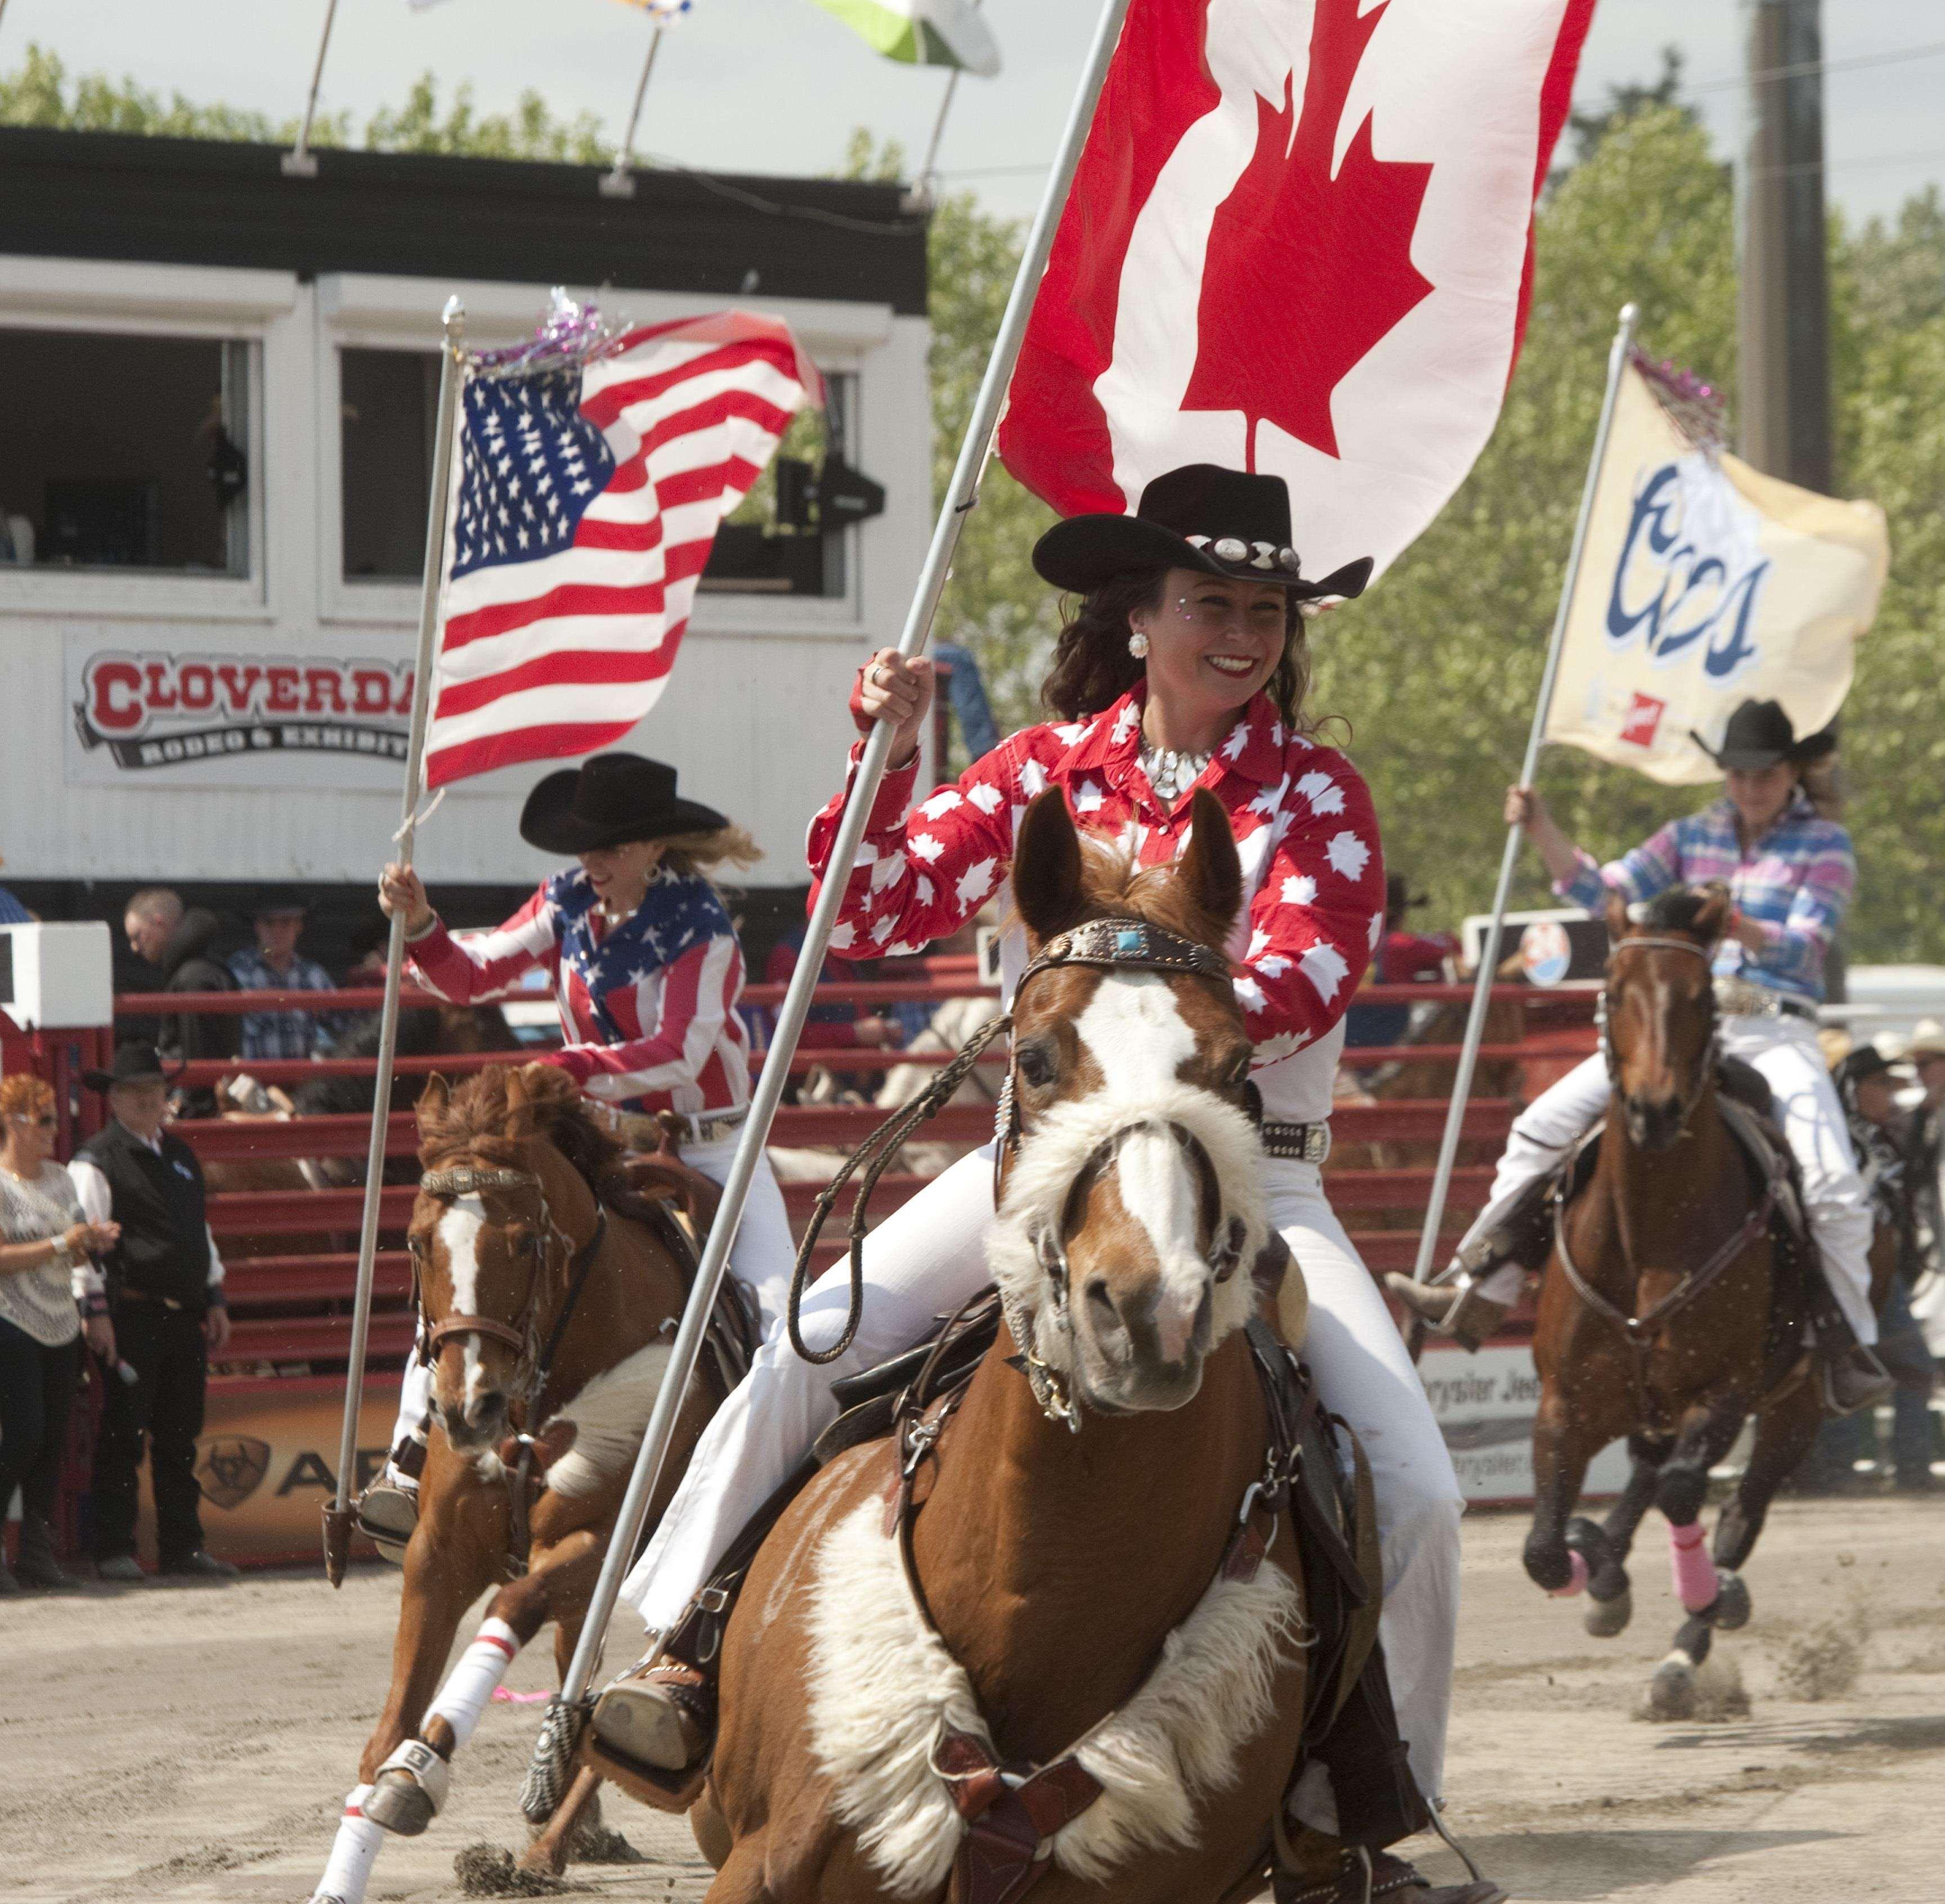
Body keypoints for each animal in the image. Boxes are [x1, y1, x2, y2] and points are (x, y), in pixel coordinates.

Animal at [319, 1066, 731, 1898]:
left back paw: (548, 1847)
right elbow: (386, 1729)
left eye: (524, 1242)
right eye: (415, 1242)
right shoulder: (438, 1556)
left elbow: (511, 1608)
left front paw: (419, 1773)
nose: (466, 1406)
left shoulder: (600, 1548)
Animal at [1525, 887, 1828, 1719]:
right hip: (1646, 1403)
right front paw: (1588, 1563)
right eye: (1612, 991)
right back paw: (1606, 1569)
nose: (1655, 1109)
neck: (1649, 1236)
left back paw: (1685, 1651)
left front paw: (1702, 1600)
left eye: (1700, 999)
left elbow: (1688, 1492)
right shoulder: (1564, 1401)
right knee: (1645, 1476)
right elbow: (1541, 1550)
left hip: (1794, 1409)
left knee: (1733, 1512)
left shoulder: (1726, 1392)